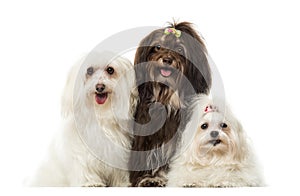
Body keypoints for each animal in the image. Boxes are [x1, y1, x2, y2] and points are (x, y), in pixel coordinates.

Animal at [27, 51, 135, 186]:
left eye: (110, 70)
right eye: (89, 70)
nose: (100, 87)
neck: (100, 116)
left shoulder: (117, 153)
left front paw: (122, 183)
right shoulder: (80, 153)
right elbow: (84, 168)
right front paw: (91, 183)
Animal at [128, 21, 211, 187]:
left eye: (179, 49)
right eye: (158, 47)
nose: (167, 59)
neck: (166, 98)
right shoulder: (146, 136)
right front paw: (149, 178)